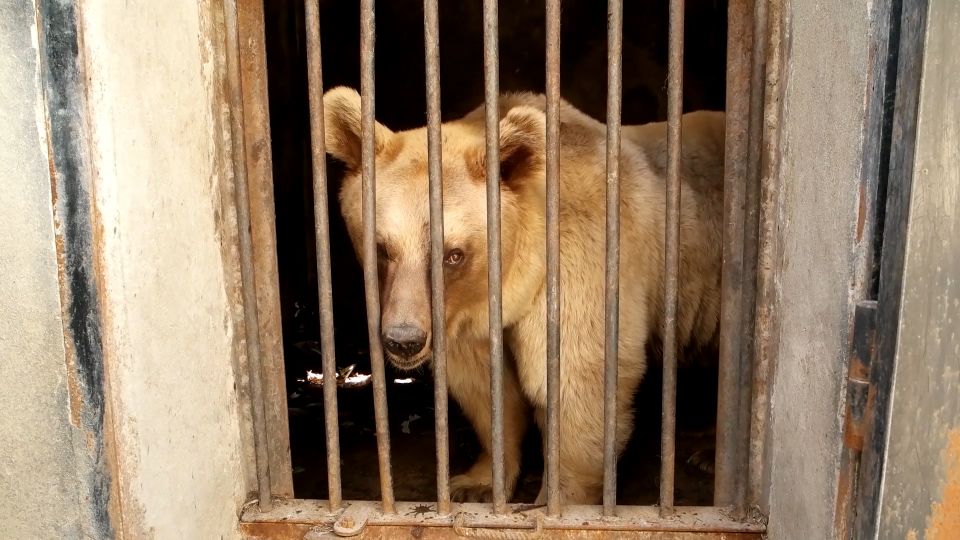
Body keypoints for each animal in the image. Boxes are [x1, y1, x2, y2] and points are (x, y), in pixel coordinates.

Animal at [322, 86, 725, 506]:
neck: (511, 283)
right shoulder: (464, 315)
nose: (404, 340)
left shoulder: (580, 265)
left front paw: (557, 497)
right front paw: (477, 482)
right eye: (383, 249)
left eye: (453, 254)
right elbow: (486, 388)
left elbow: (578, 383)